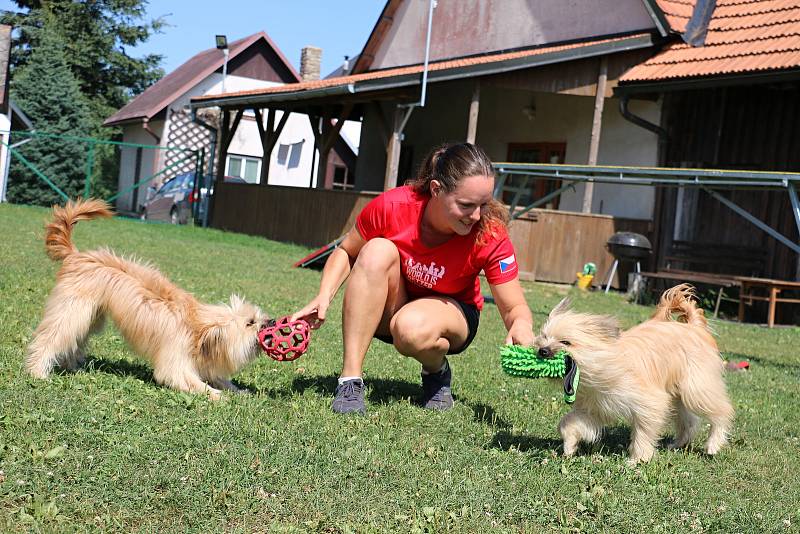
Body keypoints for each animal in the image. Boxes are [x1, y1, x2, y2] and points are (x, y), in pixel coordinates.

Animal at [25, 199, 268, 400]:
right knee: (51, 337)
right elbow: (183, 378)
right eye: (250, 323)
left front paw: (238, 390)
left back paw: (72, 366)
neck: (198, 329)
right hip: (72, 310)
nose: (271, 322)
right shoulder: (176, 358)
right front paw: (216, 394)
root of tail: (76, 255)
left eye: (258, 316)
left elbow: (218, 378)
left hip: (91, 315)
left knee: (74, 340)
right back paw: (37, 370)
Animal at [536, 284, 736, 464]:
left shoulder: (650, 403)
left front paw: (638, 459)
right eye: (543, 337)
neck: (602, 368)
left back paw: (714, 443)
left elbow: (643, 433)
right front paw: (569, 446)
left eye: (566, 342)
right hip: (678, 395)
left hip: (696, 389)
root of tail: (694, 327)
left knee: (722, 411)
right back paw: (677, 444)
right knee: (689, 422)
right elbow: (568, 423)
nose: (542, 351)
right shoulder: (595, 407)